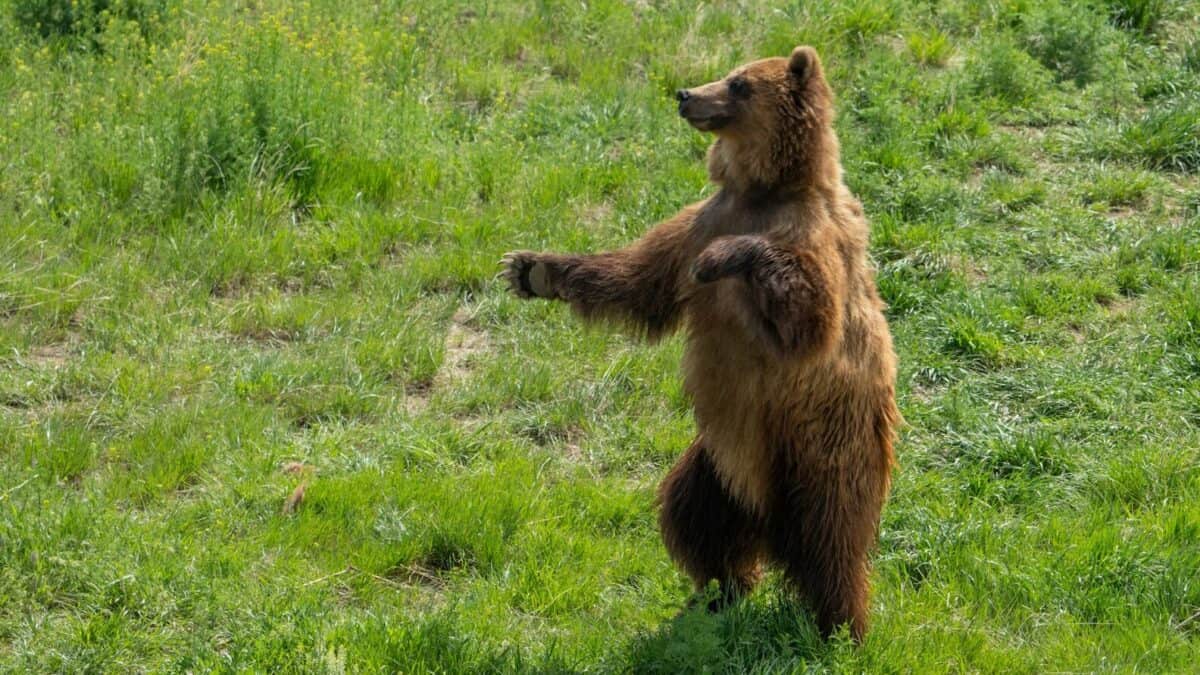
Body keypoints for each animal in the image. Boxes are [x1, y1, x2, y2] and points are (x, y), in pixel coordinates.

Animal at [501, 46, 899, 641]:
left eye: (738, 84)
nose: (687, 94)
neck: (764, 189)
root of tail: (769, 523)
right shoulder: (702, 219)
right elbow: (641, 280)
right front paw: (532, 269)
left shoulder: (811, 235)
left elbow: (810, 320)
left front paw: (724, 259)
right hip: (719, 465)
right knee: (693, 513)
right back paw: (719, 591)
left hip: (822, 448)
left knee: (832, 538)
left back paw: (838, 626)